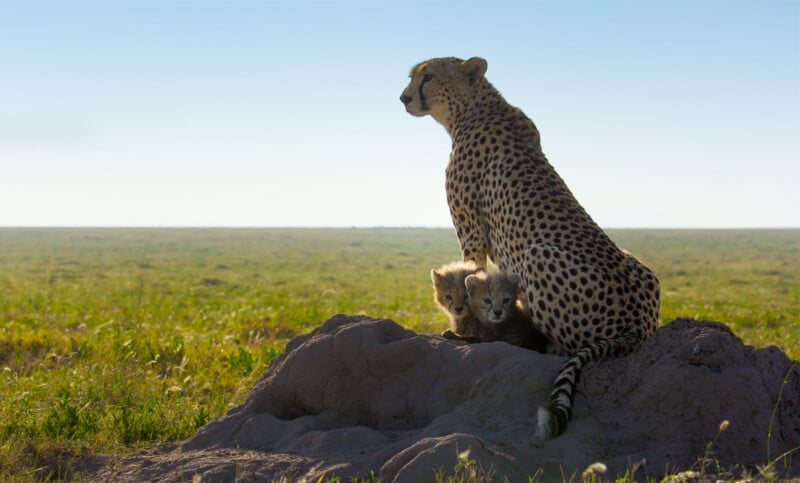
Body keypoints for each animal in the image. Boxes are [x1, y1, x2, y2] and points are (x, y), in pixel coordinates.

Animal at [401, 56, 660, 439]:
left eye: (429, 76)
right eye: (413, 76)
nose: (403, 98)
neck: (473, 108)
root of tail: (639, 327)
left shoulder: (472, 231)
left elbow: (471, 269)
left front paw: (464, 326)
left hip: (537, 254)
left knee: (567, 345)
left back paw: (550, 345)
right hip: (644, 269)